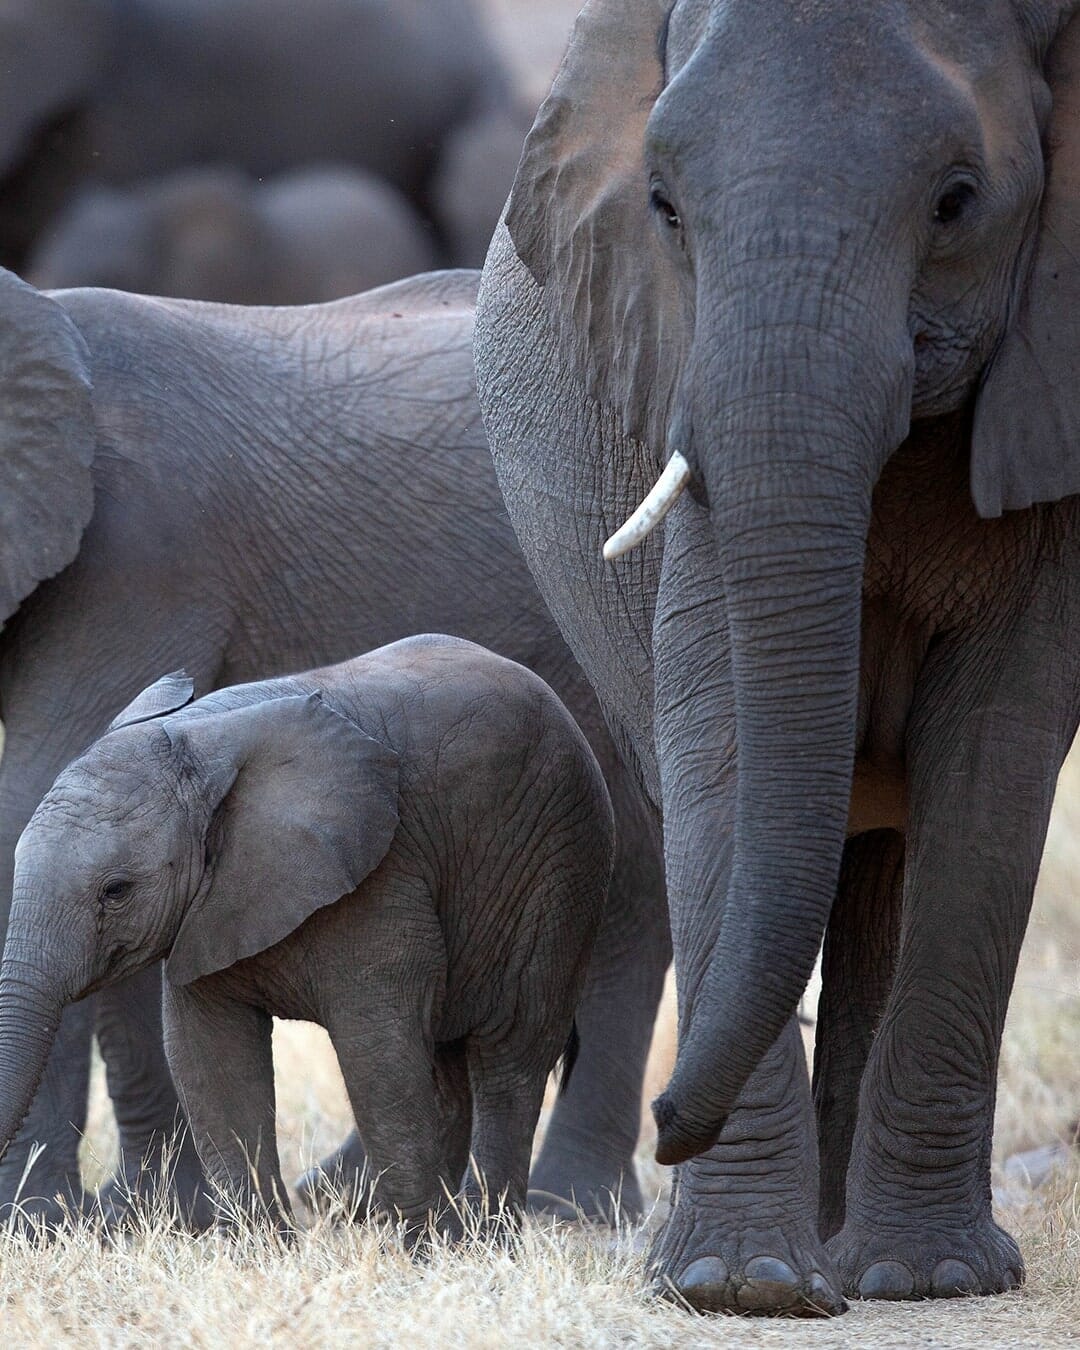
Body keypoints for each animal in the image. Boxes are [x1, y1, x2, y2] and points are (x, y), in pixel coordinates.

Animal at [0, 637, 612, 1236]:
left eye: (116, 890)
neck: (202, 736)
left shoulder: (382, 874)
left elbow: (379, 1057)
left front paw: (424, 1253)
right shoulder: (206, 911)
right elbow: (212, 1063)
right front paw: (264, 1252)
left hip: (560, 871)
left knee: (509, 1059)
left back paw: (485, 1241)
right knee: (447, 1064)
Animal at [480, 0, 1080, 1317]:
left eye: (957, 202)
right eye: (662, 206)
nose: (666, 1123)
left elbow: (996, 759)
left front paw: (932, 1279)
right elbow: (725, 738)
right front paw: (738, 1285)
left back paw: (863, 1253)